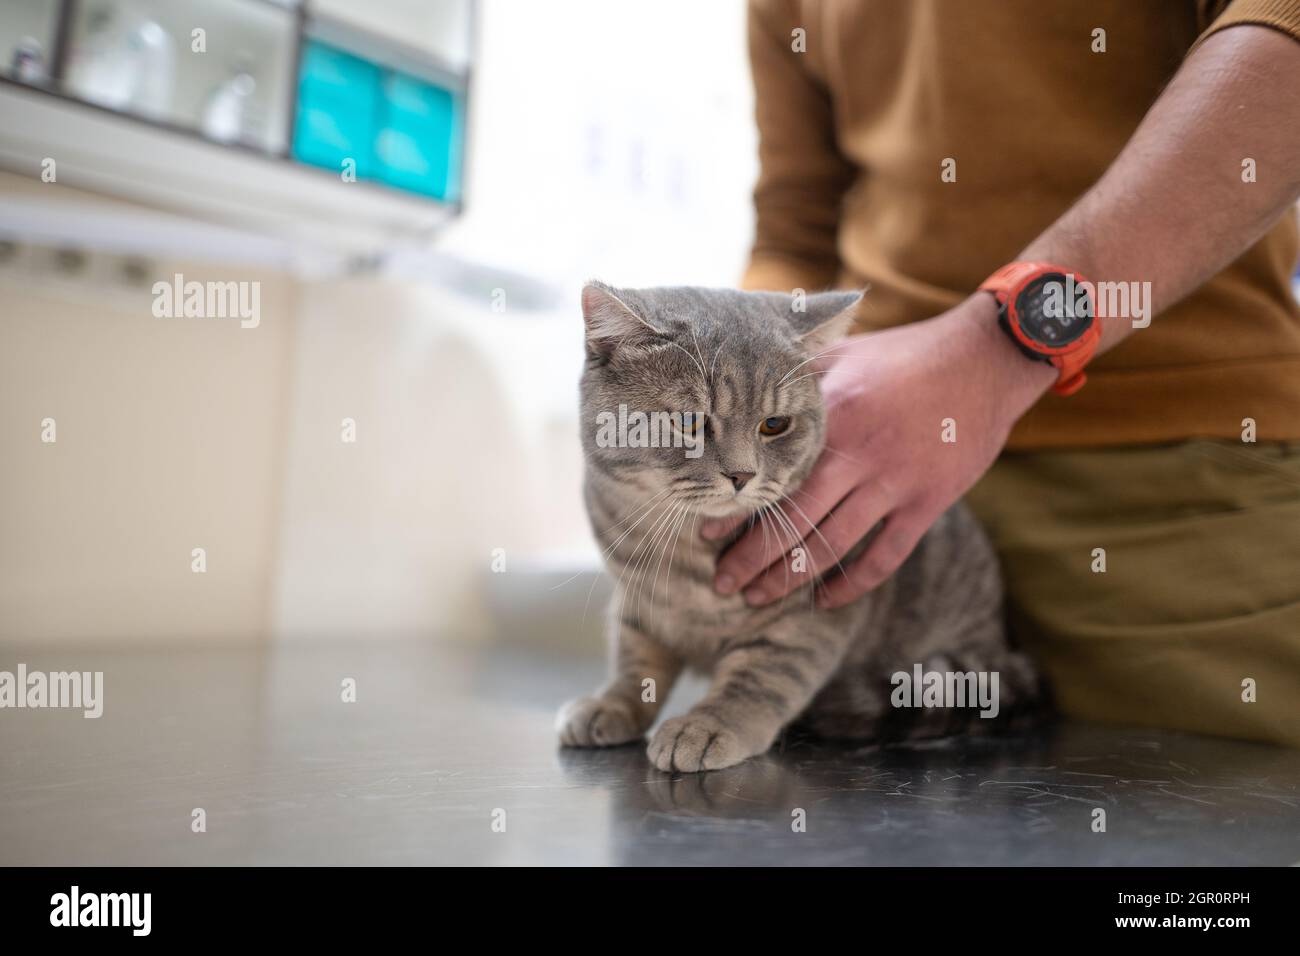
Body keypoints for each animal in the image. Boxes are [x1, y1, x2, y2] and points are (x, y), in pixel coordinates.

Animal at [559, 282, 1045, 770]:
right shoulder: (638, 598)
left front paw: (709, 724)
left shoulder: (809, 612)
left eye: (774, 425)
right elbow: (635, 660)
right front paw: (612, 703)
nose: (742, 476)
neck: (687, 553)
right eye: (688, 422)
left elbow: (762, 675)